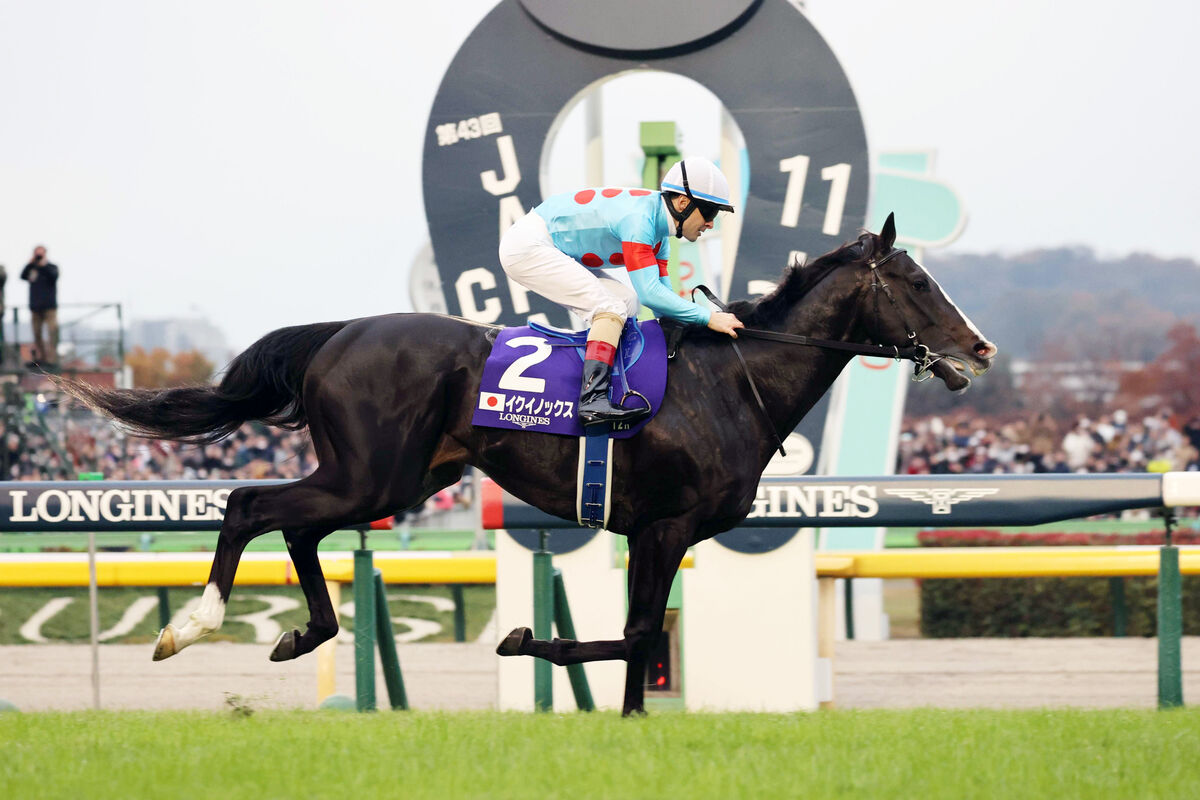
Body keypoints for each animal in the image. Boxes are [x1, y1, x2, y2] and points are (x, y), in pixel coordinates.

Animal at [62, 213, 995, 716]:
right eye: (916, 281)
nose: (981, 348)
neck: (734, 380)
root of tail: (338, 332)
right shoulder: (665, 527)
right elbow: (637, 632)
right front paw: (529, 644)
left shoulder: (658, 533)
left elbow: (640, 632)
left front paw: (621, 711)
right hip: (374, 474)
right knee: (251, 505)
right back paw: (191, 626)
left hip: (397, 479)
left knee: (296, 529)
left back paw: (304, 633)